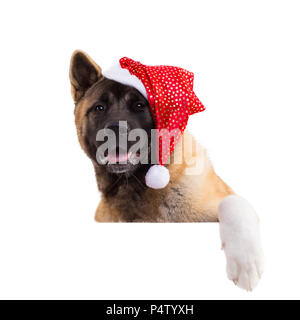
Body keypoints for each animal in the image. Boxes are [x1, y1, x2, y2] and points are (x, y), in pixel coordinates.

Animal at [69, 49, 264, 290]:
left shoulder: (223, 199)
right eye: (99, 108)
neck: (135, 186)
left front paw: (245, 261)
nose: (116, 129)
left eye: (140, 106)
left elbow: (233, 203)